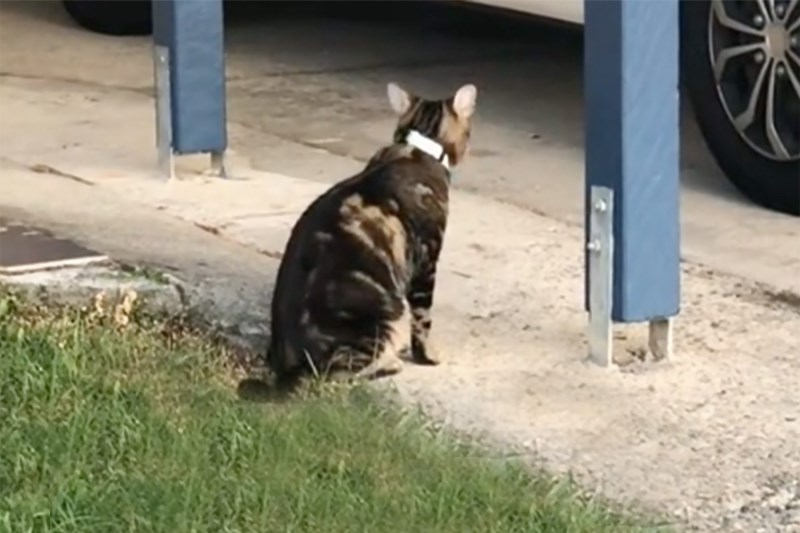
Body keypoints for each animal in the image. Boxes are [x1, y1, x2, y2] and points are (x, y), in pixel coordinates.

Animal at [266, 80, 478, 386]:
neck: (416, 148)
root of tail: (288, 365)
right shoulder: (426, 260)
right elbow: (423, 319)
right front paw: (427, 356)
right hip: (384, 318)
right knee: (339, 376)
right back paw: (389, 364)